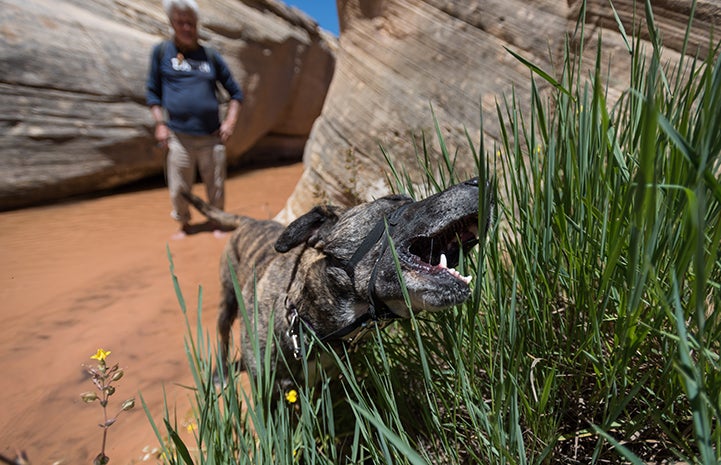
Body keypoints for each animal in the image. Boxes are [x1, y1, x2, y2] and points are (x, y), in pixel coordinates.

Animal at [183, 177, 492, 396]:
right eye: (394, 202)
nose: (482, 180)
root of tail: (249, 221)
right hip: (227, 302)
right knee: (223, 335)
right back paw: (221, 373)